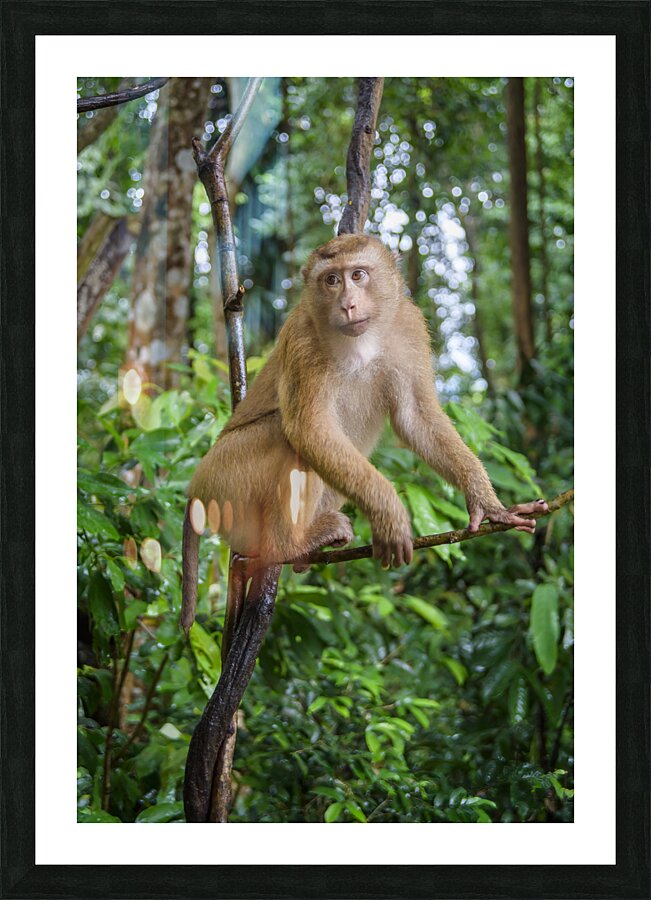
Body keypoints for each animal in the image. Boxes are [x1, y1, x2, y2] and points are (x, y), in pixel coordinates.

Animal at [181, 233, 547, 631]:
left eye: (358, 275)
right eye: (331, 280)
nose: (348, 305)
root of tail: (194, 490)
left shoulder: (409, 325)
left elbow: (416, 418)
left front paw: (488, 504)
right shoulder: (303, 335)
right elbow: (309, 428)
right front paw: (390, 513)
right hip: (224, 482)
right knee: (285, 439)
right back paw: (290, 545)